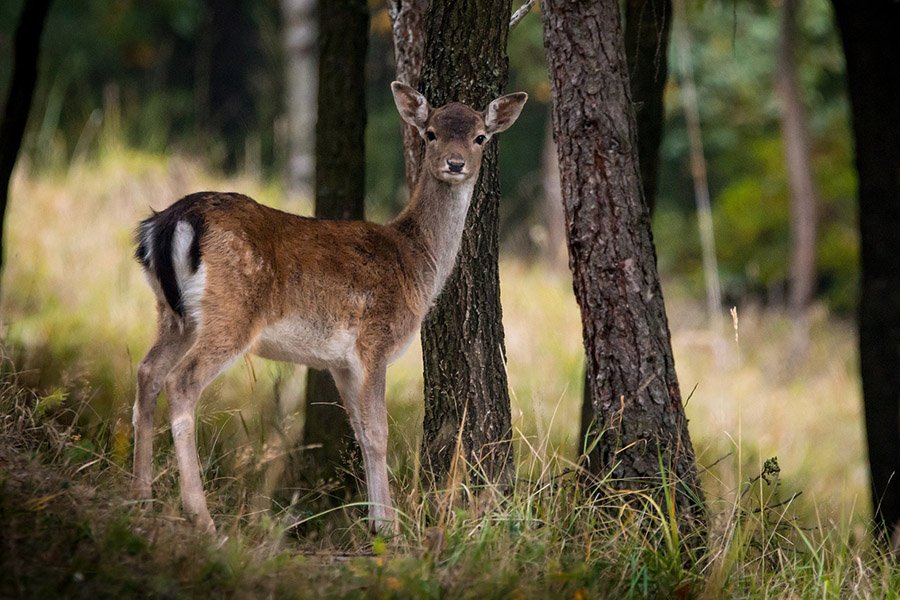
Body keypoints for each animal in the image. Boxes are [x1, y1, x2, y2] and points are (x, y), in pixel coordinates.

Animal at [131, 82, 527, 535]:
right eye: (430, 133)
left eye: (480, 137)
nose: (456, 162)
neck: (417, 263)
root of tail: (167, 223)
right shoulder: (375, 341)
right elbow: (379, 430)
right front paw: (388, 527)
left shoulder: (339, 361)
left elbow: (359, 430)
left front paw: (375, 519)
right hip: (231, 313)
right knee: (182, 381)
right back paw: (202, 517)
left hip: (174, 315)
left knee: (148, 372)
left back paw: (140, 499)